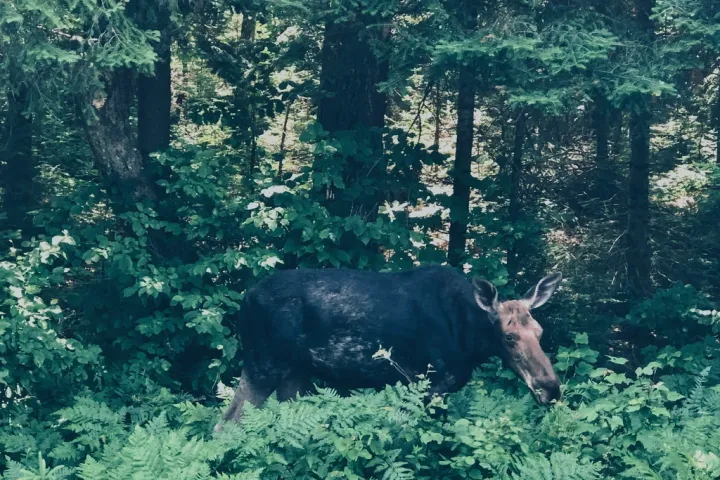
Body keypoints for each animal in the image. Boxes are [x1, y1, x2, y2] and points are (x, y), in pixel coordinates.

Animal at [214, 265, 562, 432]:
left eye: (540, 331)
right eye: (509, 336)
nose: (551, 388)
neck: (470, 340)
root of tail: (243, 300)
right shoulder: (427, 383)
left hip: (295, 373)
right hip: (263, 363)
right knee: (225, 424)